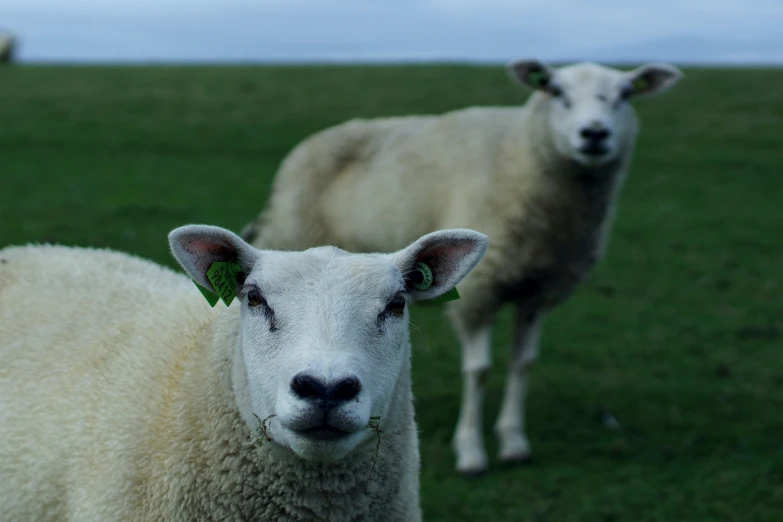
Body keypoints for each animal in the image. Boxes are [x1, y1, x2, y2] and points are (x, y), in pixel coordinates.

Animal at [242, 59, 684, 474]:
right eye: (556, 91)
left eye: (626, 93)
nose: (594, 134)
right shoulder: (478, 291)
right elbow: (480, 371)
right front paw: (471, 450)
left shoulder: (537, 291)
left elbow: (523, 364)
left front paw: (514, 441)